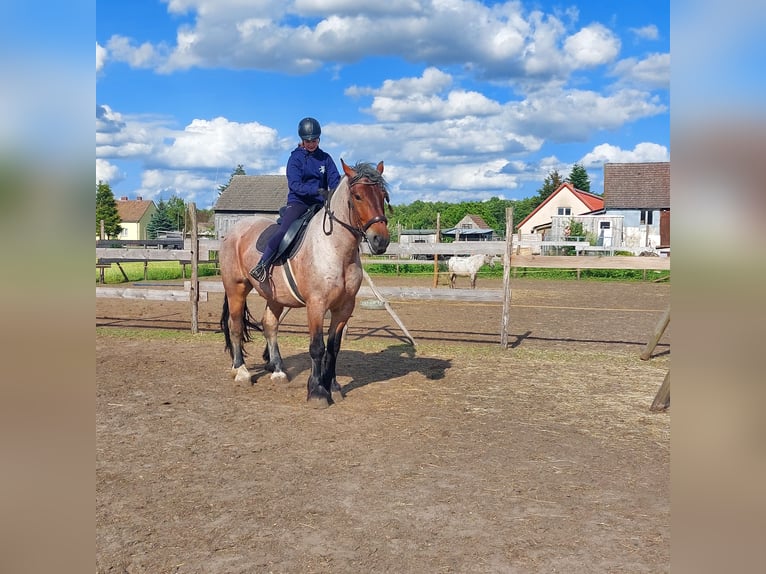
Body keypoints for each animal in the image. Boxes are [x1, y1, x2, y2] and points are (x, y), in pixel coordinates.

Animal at [219, 159, 392, 410]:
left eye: (383, 196)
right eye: (358, 196)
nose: (381, 240)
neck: (336, 250)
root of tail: (234, 230)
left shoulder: (344, 308)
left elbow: (333, 348)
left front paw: (333, 387)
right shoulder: (316, 305)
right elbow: (317, 348)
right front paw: (317, 391)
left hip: (274, 297)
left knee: (269, 325)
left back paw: (278, 371)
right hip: (236, 289)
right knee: (235, 326)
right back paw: (241, 372)